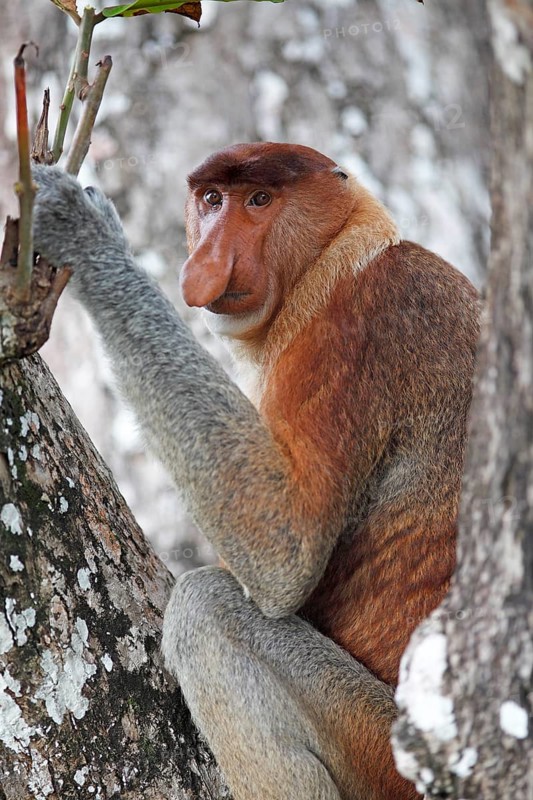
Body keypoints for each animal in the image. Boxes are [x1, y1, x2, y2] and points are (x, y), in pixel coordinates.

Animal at [31, 142, 480, 800]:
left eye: (260, 200)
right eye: (213, 200)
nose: (207, 261)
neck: (336, 256)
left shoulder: (350, 332)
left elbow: (282, 554)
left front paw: (87, 239)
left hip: (383, 750)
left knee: (207, 607)